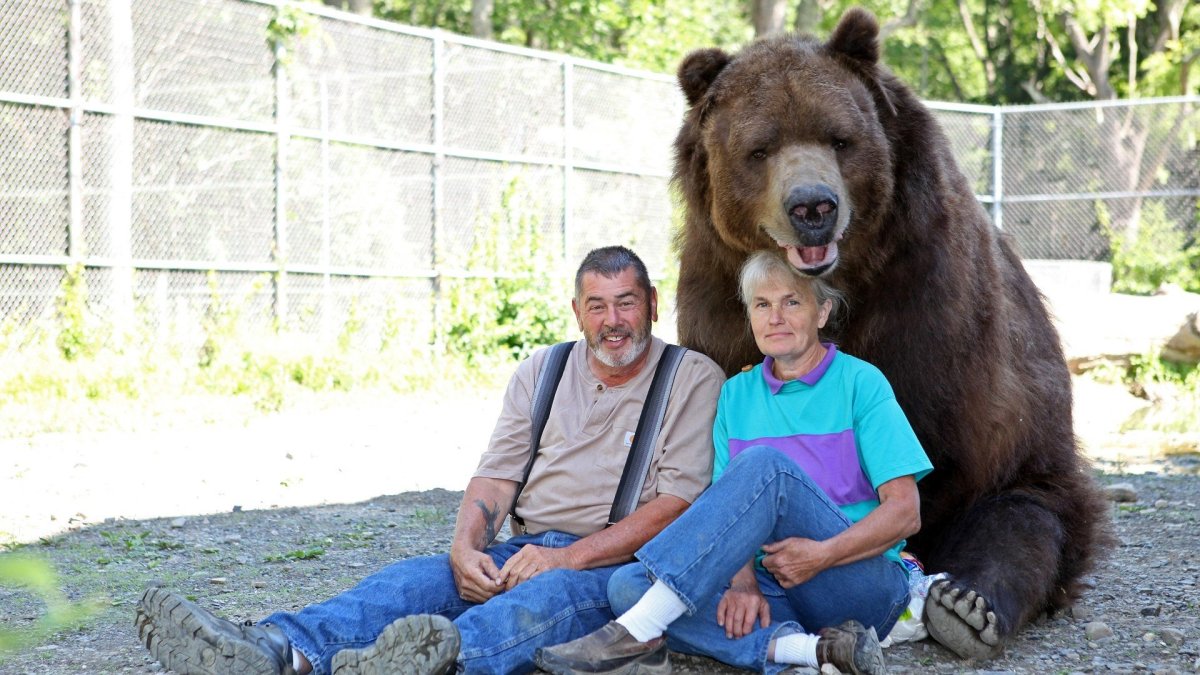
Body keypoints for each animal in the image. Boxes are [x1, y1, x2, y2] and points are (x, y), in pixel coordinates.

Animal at [670, 8, 1111, 660]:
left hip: (1030, 440)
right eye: (761, 147)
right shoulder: (718, 300)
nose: (813, 206)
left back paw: (967, 604)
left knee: (1028, 515)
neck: (842, 284)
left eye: (839, 138)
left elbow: (922, 441)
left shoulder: (925, 297)